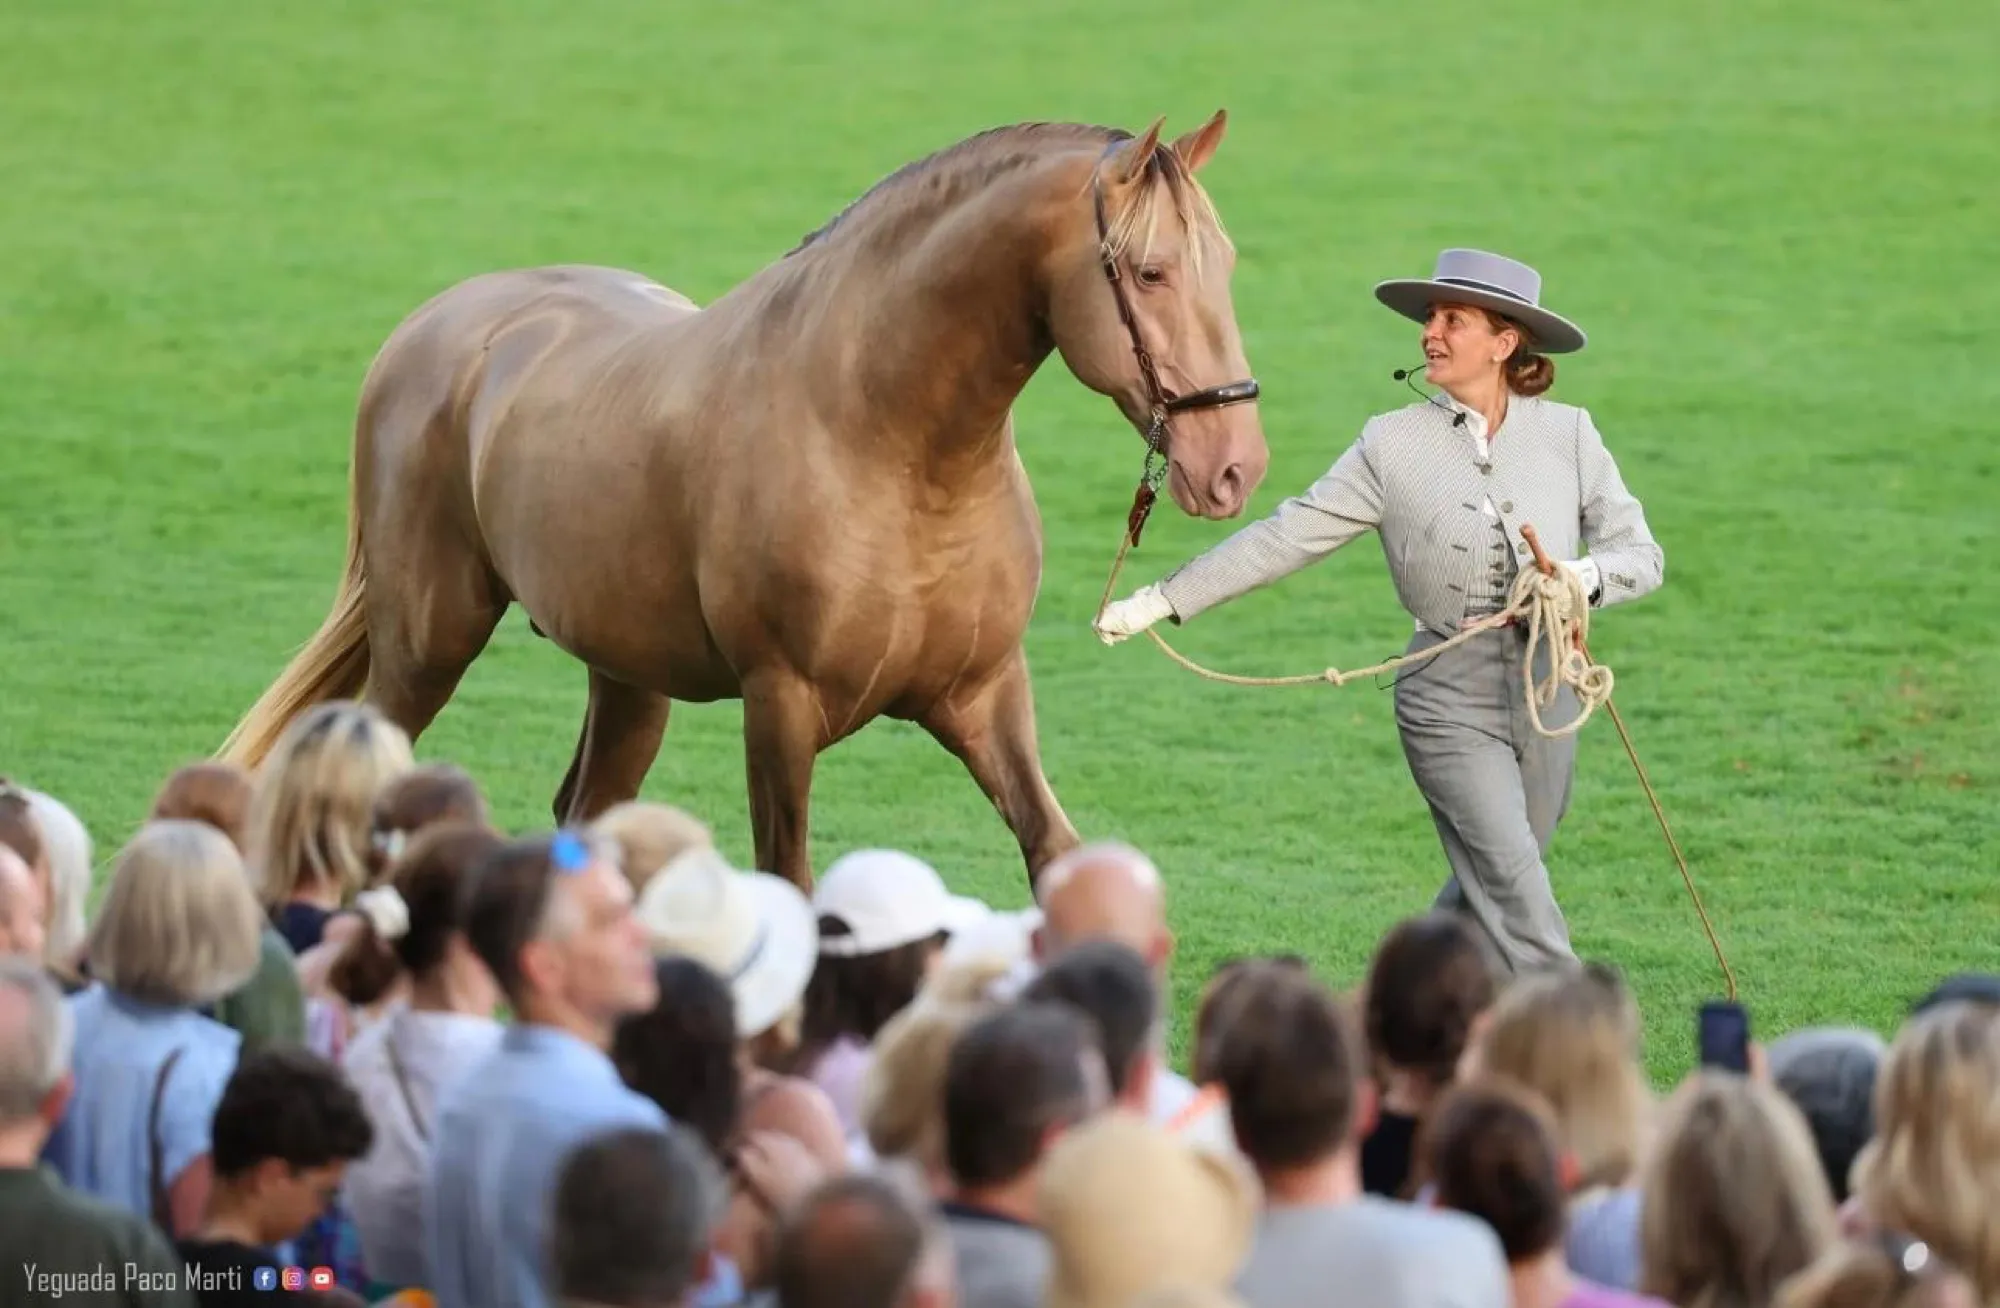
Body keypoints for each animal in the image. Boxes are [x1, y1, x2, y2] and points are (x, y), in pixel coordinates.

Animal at [217, 112, 1270, 892]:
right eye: (1149, 272)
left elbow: (1057, 853)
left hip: (627, 679)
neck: (892, 453)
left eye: (1227, 264)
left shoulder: (982, 695)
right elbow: (788, 883)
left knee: (582, 817)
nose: (1235, 467)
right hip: (427, 647)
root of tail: (435, 325)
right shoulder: (781, 706)